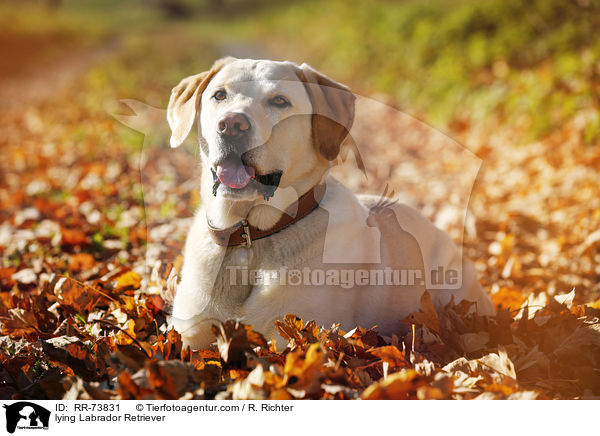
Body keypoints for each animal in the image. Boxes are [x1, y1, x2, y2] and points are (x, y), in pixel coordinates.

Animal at [166, 57, 494, 350]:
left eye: (280, 101)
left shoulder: (286, 338)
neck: (250, 239)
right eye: (219, 95)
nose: (232, 124)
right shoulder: (188, 333)